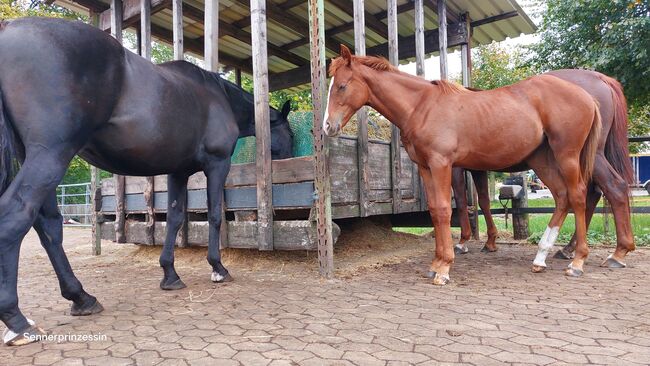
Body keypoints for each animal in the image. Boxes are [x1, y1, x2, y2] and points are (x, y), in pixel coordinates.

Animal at [0, 16, 292, 344]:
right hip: (51, 155)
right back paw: (17, 320)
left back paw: (81, 297)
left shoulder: (178, 171)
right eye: (290, 134)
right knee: (16, 217)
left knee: (48, 226)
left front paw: (170, 274)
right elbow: (215, 216)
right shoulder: (217, 165)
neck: (219, 99)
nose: (288, 158)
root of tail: (8, 29)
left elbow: (175, 218)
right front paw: (218, 268)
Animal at [450, 70, 632, 268]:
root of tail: (601, 79)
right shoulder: (478, 168)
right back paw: (571, 249)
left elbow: (461, 200)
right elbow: (484, 200)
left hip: (588, 156)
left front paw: (463, 241)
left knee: (612, 188)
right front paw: (490, 241)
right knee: (592, 194)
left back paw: (617, 252)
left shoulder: (456, 168)